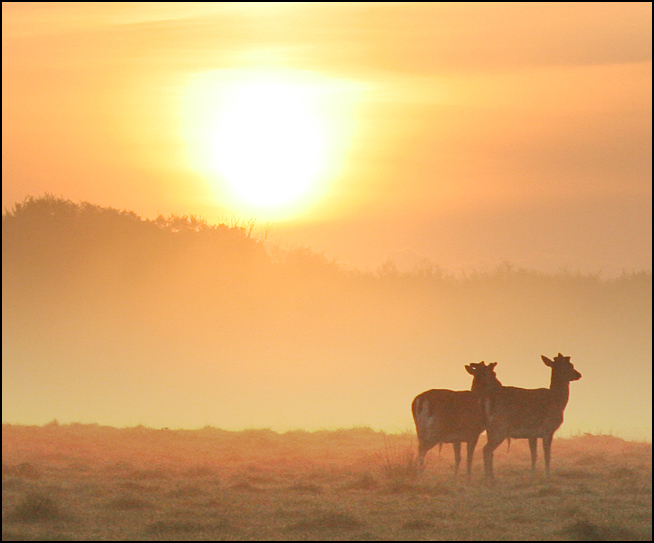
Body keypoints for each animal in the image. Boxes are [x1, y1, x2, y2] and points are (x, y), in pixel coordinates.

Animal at [466, 354, 584, 482]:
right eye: (569, 366)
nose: (578, 374)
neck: (558, 402)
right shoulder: (548, 429)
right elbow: (547, 455)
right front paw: (548, 476)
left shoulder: (532, 434)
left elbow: (534, 455)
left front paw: (532, 476)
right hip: (500, 427)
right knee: (486, 449)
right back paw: (489, 479)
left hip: (489, 429)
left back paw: (489, 477)